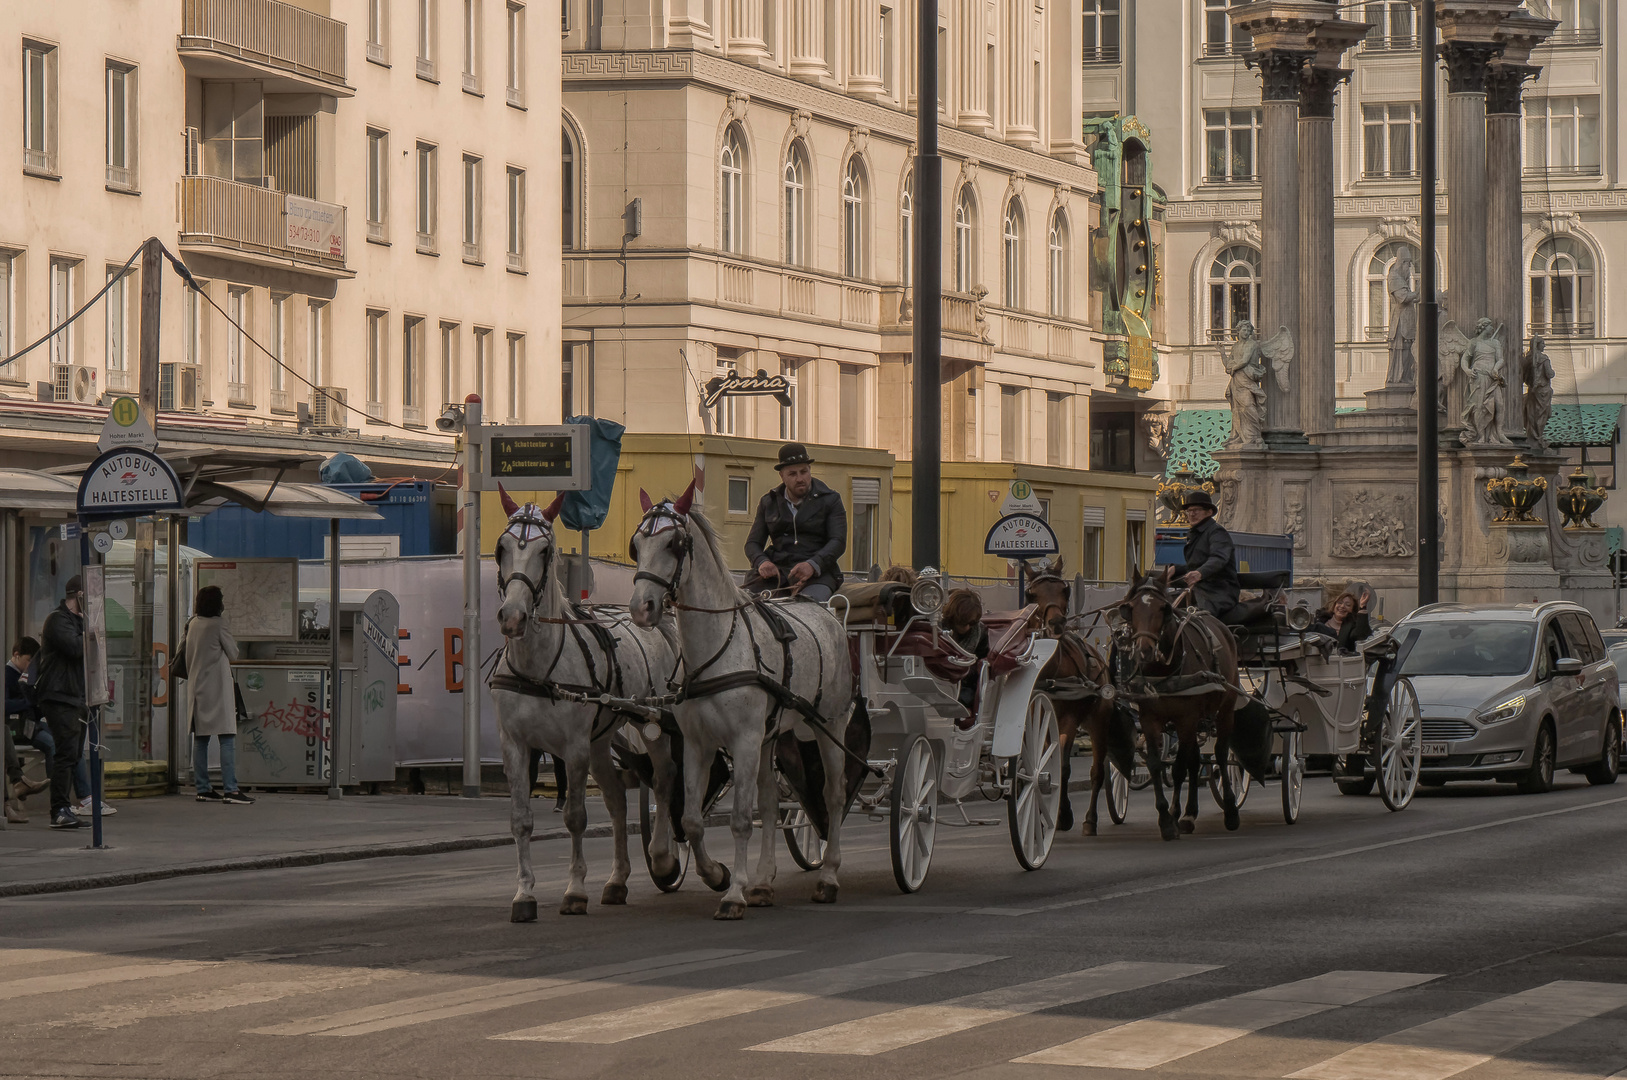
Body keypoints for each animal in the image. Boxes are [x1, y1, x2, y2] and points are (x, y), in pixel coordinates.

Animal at [488, 487, 680, 917]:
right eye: (501, 548)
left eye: (545, 551)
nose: (512, 616)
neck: (539, 667)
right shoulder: (515, 746)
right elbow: (520, 821)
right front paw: (524, 894)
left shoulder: (573, 748)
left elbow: (576, 817)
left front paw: (575, 890)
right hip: (600, 741)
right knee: (617, 802)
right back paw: (618, 880)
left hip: (652, 725)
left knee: (663, 781)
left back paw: (663, 857)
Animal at [621, 481, 859, 917]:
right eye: (636, 544)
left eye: (675, 543)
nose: (641, 608)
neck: (716, 648)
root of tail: (828, 614)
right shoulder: (699, 744)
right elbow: (693, 819)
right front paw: (717, 874)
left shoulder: (744, 740)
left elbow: (740, 821)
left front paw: (732, 894)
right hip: (769, 738)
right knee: (769, 803)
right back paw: (763, 883)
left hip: (828, 725)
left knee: (833, 796)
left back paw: (828, 876)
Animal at [1015, 566, 1132, 832]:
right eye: (1031, 594)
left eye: (1064, 590)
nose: (1056, 623)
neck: (1053, 674)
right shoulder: (1038, 719)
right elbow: (1044, 761)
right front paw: (1049, 812)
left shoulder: (1068, 720)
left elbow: (1064, 767)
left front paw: (1063, 814)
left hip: (1098, 721)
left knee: (1097, 771)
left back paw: (1090, 819)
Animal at [1112, 566, 1236, 845]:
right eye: (1130, 608)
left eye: (1164, 609)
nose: (1144, 651)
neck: (1164, 669)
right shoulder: (1149, 719)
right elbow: (1157, 765)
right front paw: (1166, 819)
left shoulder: (1186, 719)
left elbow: (1178, 769)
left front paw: (1173, 817)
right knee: (1195, 760)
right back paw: (1189, 814)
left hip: (1224, 712)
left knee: (1221, 755)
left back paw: (1230, 810)